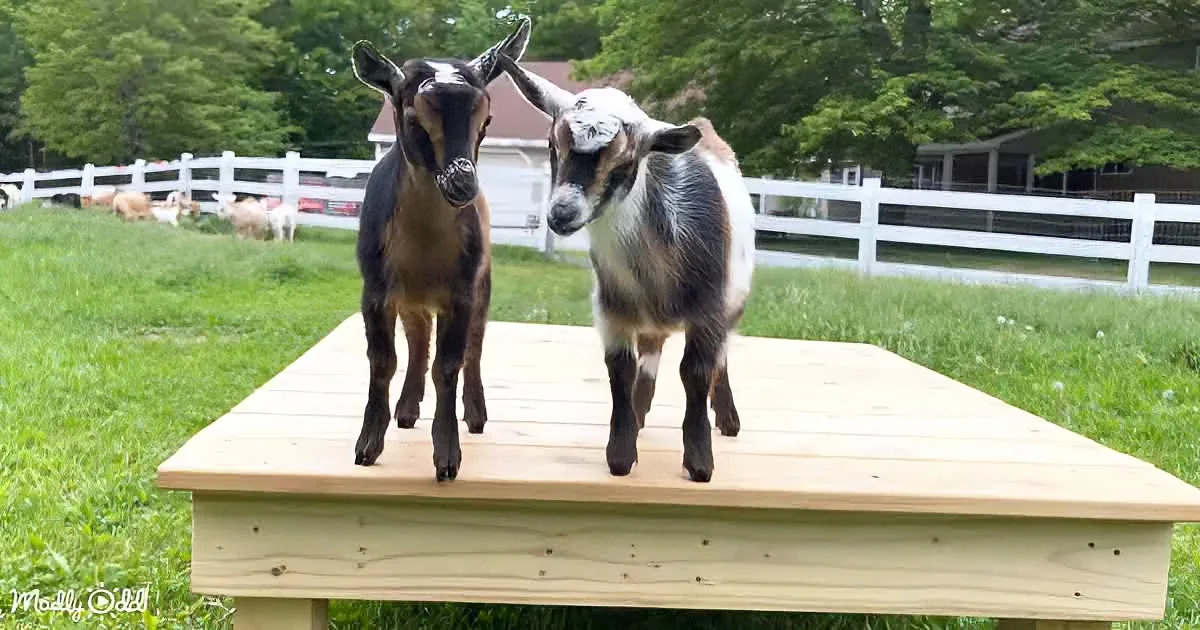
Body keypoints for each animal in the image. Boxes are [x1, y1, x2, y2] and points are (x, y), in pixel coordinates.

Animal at [348, 18, 532, 481]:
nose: (463, 183)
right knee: (418, 340)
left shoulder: (462, 291)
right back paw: (407, 410)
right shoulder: (375, 288)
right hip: (410, 298)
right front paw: (367, 446)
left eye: (487, 120)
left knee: (474, 345)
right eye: (414, 119)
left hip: (483, 283)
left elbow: (449, 364)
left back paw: (476, 414)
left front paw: (447, 459)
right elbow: (383, 360)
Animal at [499, 56, 756, 483]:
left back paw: (728, 419)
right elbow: (620, 370)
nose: (562, 213)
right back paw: (640, 411)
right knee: (649, 356)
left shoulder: (709, 310)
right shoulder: (611, 309)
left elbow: (696, 372)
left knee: (720, 356)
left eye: (624, 162)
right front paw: (621, 454)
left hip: (734, 301)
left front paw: (700, 464)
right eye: (553, 145)